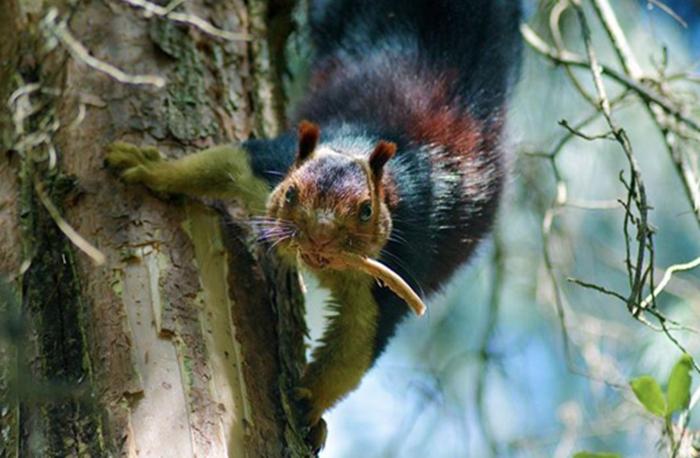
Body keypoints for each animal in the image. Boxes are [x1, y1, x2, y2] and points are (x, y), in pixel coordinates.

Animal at [104, 0, 520, 450]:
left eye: (366, 210)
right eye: (291, 195)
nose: (319, 236)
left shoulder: (397, 271)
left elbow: (356, 342)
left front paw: (308, 402)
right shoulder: (269, 166)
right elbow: (216, 162)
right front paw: (150, 168)